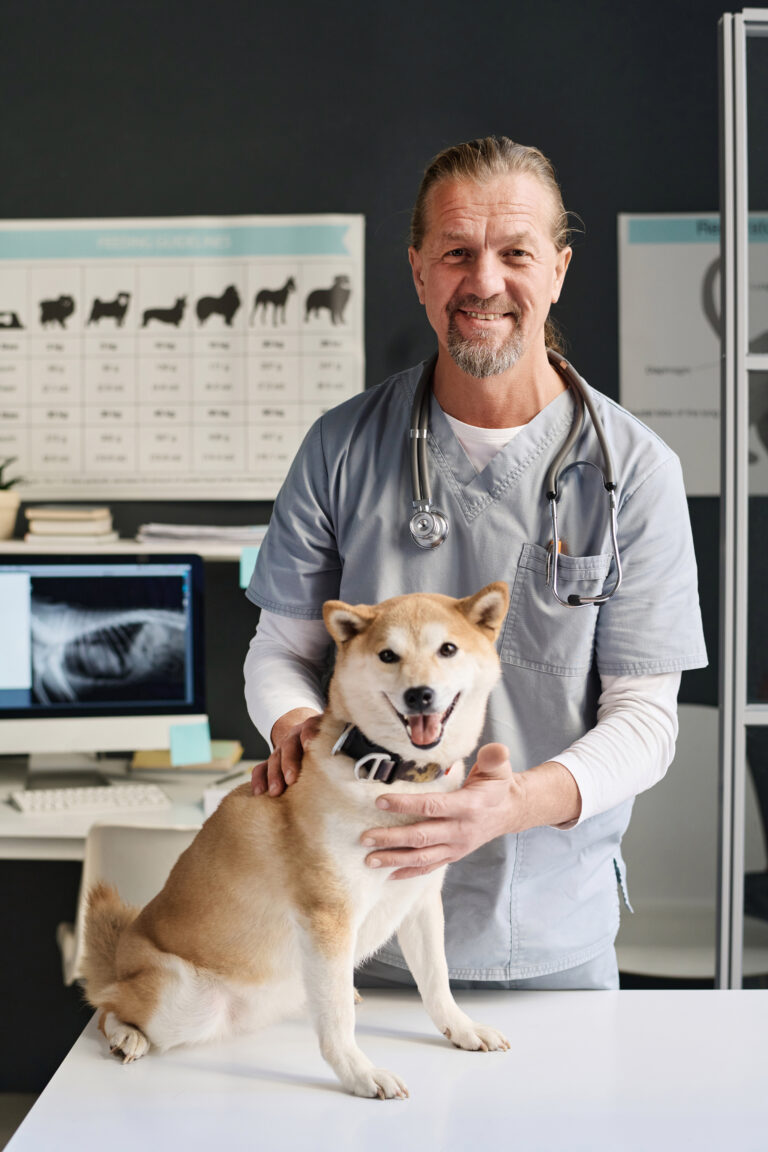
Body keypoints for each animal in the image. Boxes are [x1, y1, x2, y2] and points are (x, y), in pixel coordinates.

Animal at [82, 585, 511, 1096]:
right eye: (388, 655)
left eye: (447, 649)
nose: (419, 694)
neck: (391, 778)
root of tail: (122, 954)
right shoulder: (328, 917)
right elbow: (338, 1023)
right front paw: (359, 1072)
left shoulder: (419, 900)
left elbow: (436, 982)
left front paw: (462, 1029)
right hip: (179, 1000)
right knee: (106, 1004)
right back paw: (125, 1035)